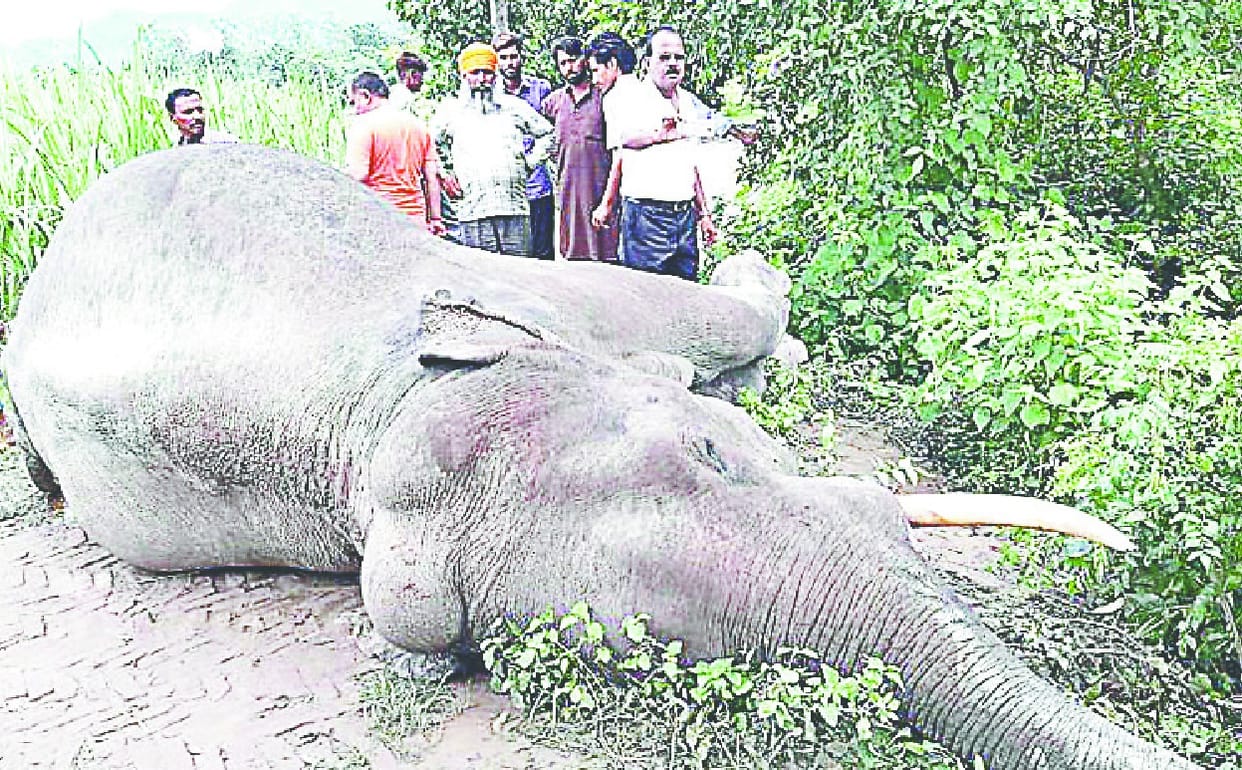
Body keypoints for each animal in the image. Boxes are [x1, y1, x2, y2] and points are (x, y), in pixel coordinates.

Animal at [2, 145, 1198, 770]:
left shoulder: (523, 288)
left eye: (714, 452)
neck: (390, 419)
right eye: (675, 652)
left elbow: (682, 303)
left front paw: (769, 317)